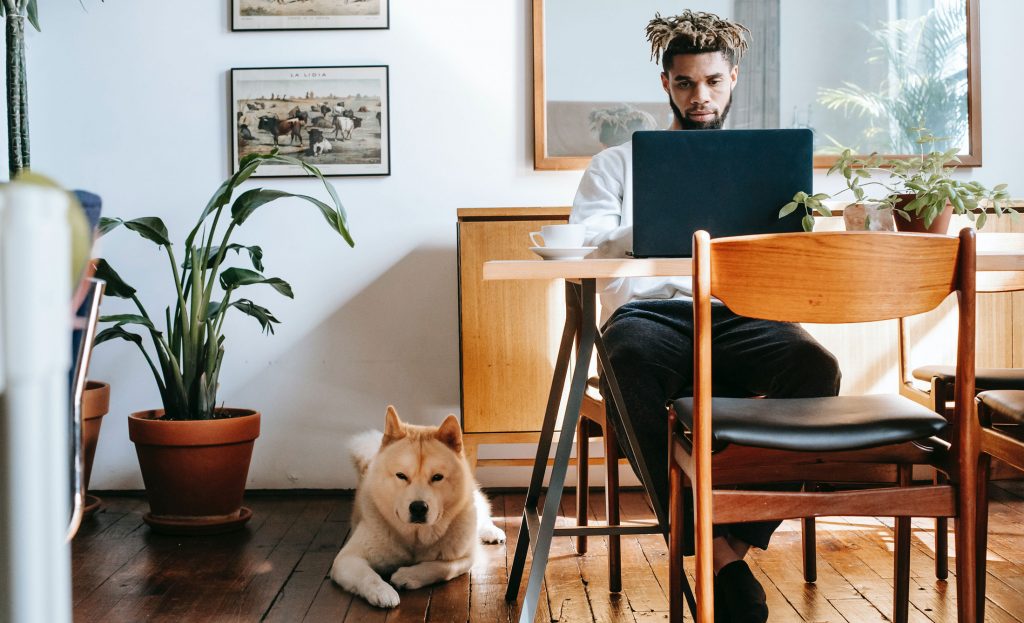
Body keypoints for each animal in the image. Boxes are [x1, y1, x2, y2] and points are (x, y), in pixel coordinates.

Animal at [329, 405, 505, 606]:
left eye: (437, 477)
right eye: (401, 475)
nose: (419, 507)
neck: (415, 537)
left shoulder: (467, 557)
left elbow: (443, 568)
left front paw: (408, 575)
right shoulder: (347, 558)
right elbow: (368, 576)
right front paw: (383, 592)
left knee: (483, 515)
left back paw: (492, 532)